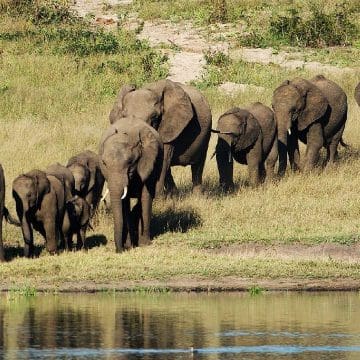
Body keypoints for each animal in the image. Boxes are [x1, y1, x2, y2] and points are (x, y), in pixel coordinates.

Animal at [97, 116, 162, 252]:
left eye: (130, 163)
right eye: (104, 163)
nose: (119, 251)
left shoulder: (149, 162)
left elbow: (146, 196)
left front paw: (144, 244)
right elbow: (124, 203)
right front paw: (128, 245)